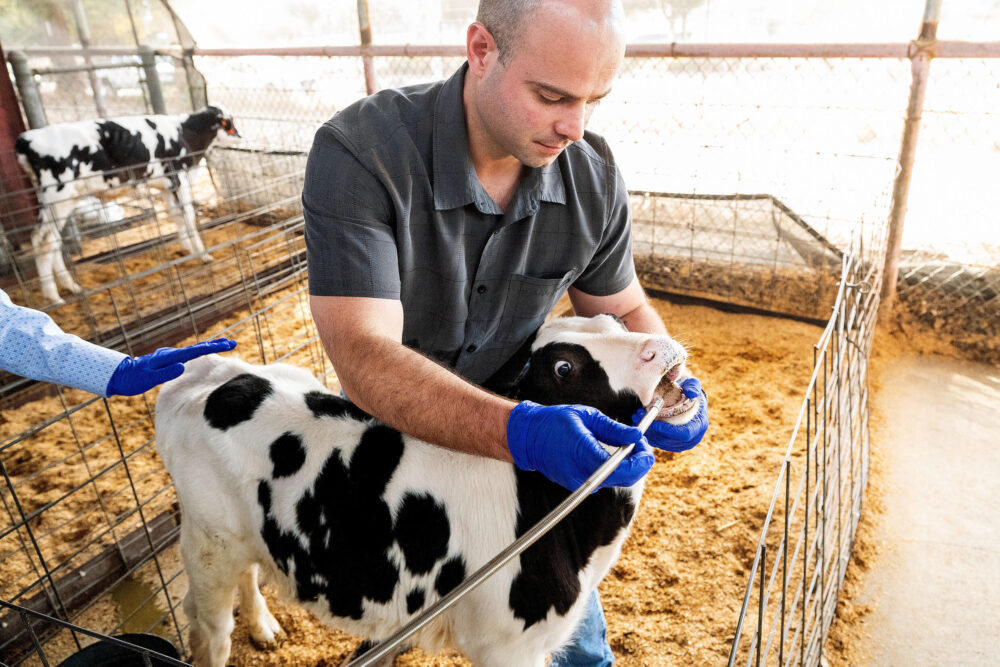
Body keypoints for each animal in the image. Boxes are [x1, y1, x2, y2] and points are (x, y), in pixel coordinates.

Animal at [16, 105, 239, 304]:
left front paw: (187, 249)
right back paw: (53, 296)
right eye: (228, 124)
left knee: (51, 240)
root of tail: (26, 139)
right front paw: (203, 254)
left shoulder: (166, 187)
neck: (184, 133)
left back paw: (70, 286)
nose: (240, 136)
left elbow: (176, 216)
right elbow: (189, 217)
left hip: (57, 200)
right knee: (44, 240)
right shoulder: (179, 178)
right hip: (58, 195)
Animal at [158, 314, 704, 667]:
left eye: (613, 319)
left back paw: (264, 628)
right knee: (210, 632)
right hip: (208, 545)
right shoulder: (506, 645)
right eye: (563, 367)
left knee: (251, 574)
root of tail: (208, 372)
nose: (661, 346)